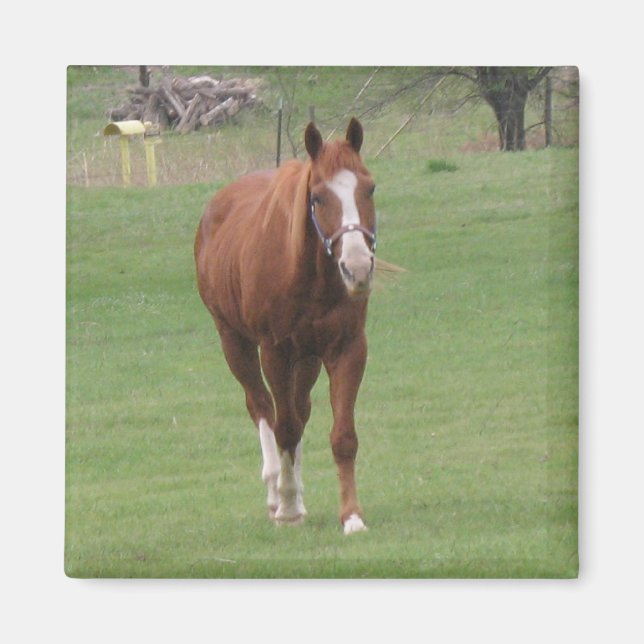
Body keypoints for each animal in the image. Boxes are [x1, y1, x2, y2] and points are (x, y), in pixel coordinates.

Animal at [194, 118, 377, 535]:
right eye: (318, 197)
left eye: (369, 188)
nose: (357, 269)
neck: (309, 275)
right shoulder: (274, 352)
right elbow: (285, 427)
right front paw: (289, 508)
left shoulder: (347, 348)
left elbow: (342, 436)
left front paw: (352, 516)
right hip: (234, 342)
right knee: (263, 407)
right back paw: (277, 494)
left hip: (307, 358)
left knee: (299, 408)